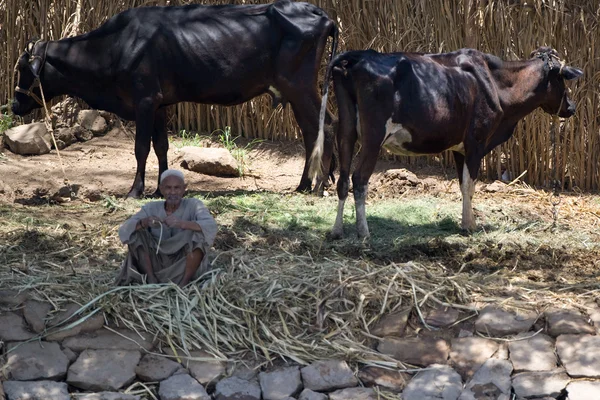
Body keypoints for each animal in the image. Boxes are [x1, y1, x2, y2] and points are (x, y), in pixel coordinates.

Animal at [310, 47, 580, 241]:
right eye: (562, 80)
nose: (571, 107)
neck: (495, 82)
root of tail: (358, 55)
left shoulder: (459, 148)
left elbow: (462, 185)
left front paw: (467, 222)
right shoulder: (476, 142)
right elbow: (470, 185)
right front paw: (469, 226)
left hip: (346, 130)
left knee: (343, 179)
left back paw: (336, 231)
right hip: (373, 136)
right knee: (359, 179)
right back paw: (364, 232)